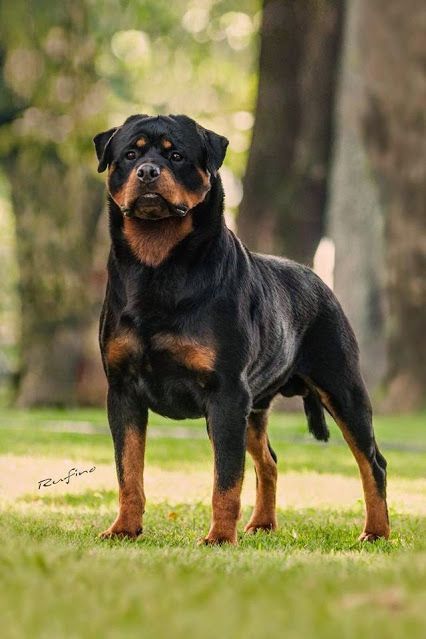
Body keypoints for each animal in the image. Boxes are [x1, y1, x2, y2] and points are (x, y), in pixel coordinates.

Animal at [92, 115, 390, 544]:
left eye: (176, 155)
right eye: (130, 154)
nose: (147, 171)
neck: (158, 264)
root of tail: (318, 279)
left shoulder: (226, 393)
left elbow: (226, 480)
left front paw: (219, 537)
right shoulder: (123, 390)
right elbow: (128, 472)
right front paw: (124, 529)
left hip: (340, 385)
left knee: (372, 461)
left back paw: (377, 532)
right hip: (254, 408)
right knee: (269, 460)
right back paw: (263, 523)